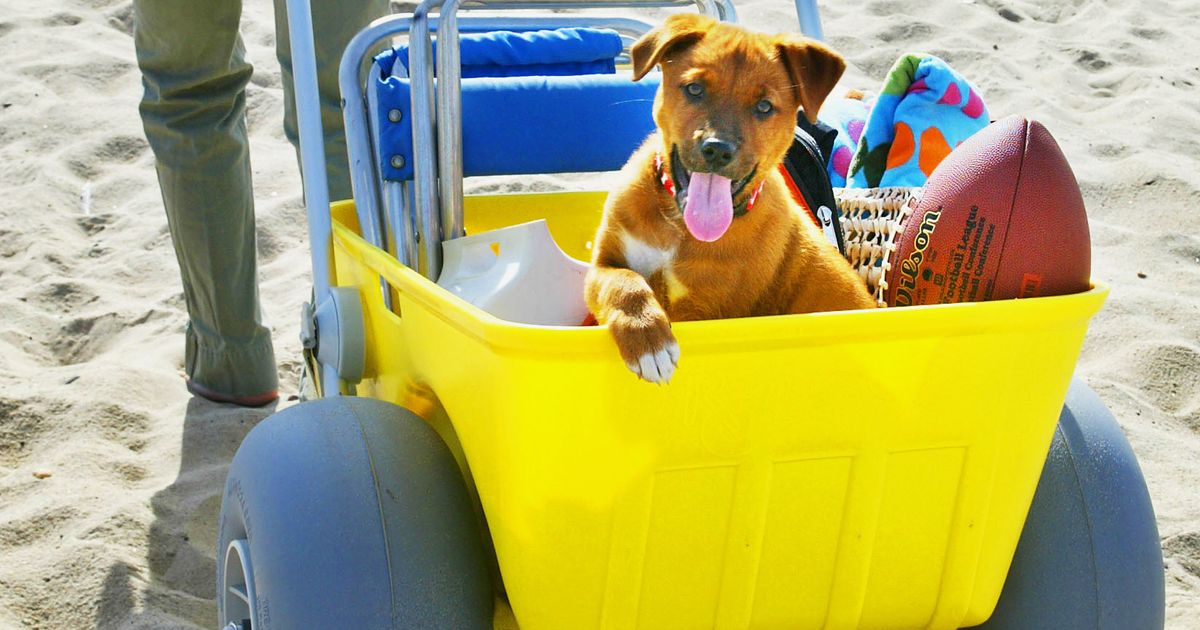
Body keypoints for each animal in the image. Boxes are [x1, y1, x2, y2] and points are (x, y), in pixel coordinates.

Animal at [585, 14, 878, 381]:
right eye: (695, 89)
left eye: (764, 107)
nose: (717, 150)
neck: (678, 228)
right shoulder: (602, 265)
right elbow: (625, 281)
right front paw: (648, 339)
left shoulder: (706, 309)